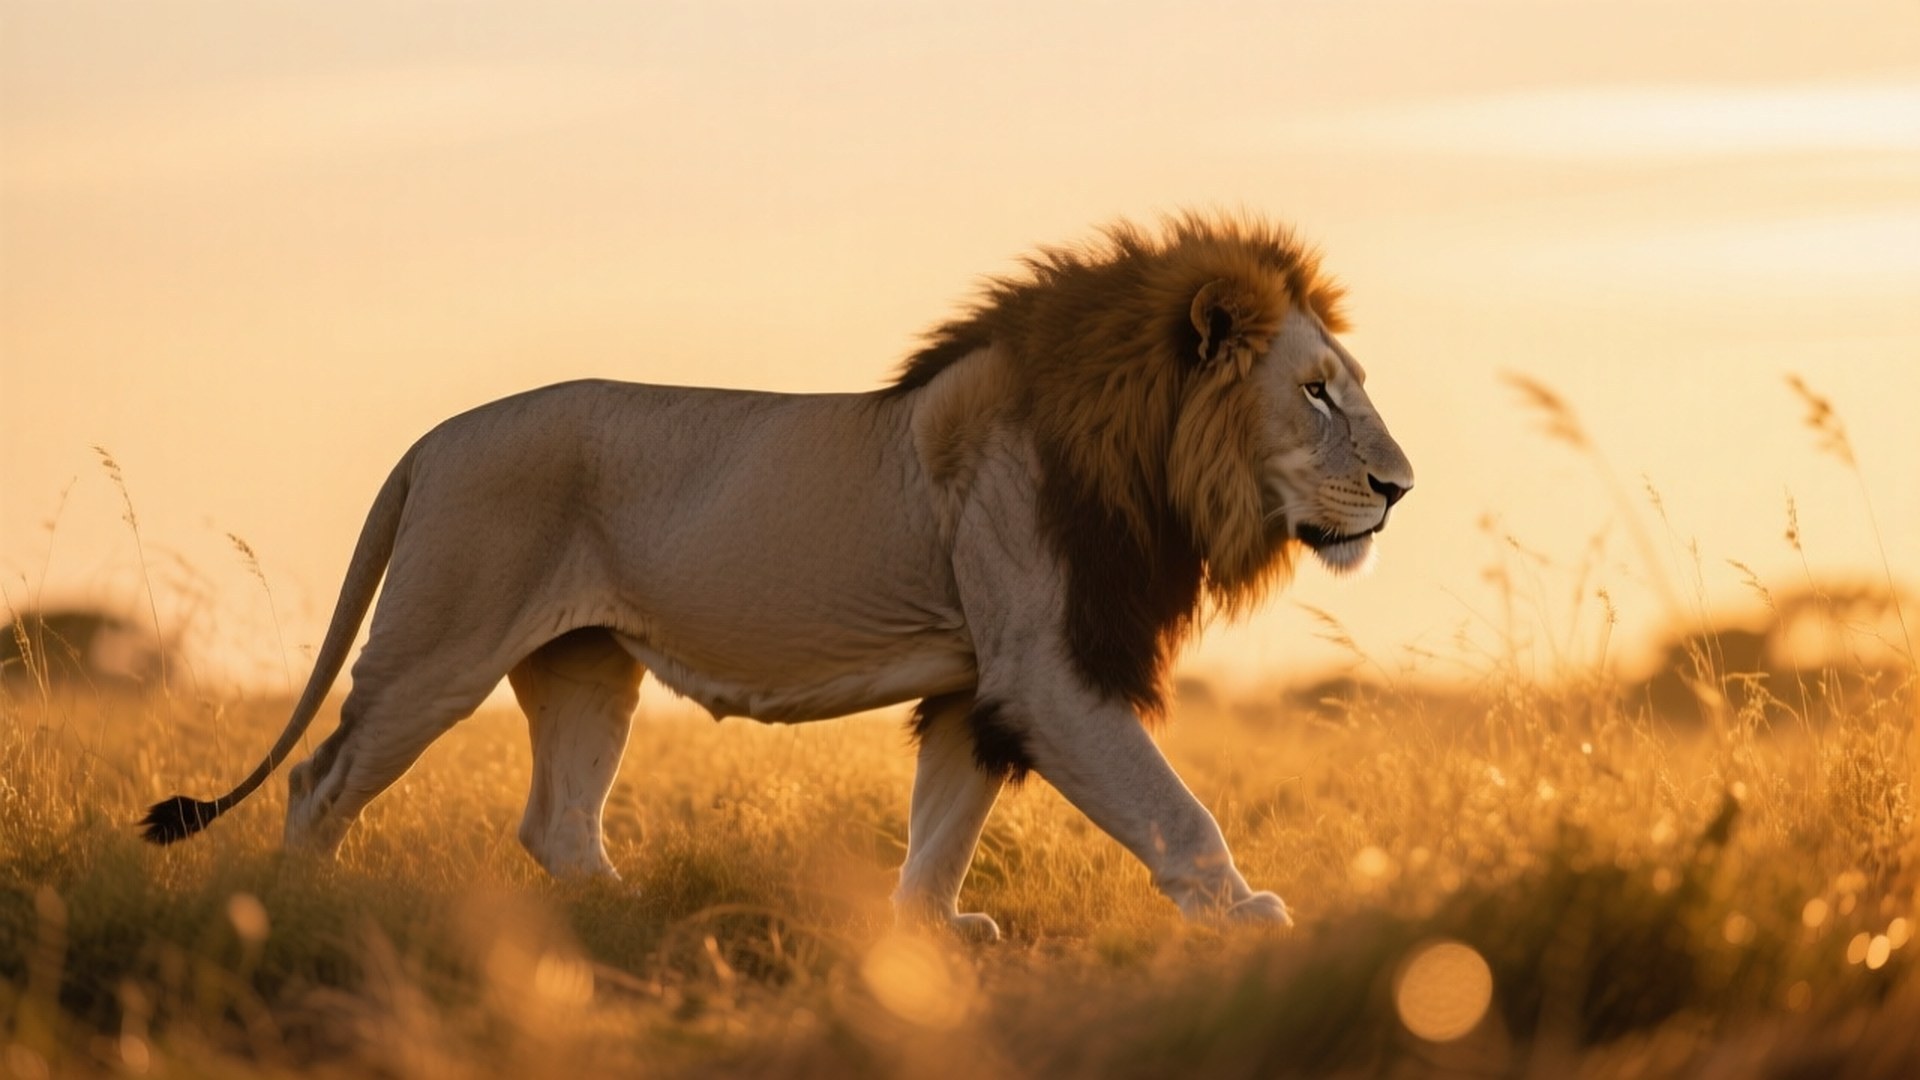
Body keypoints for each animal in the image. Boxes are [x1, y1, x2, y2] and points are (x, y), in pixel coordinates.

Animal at [141, 214, 1413, 939]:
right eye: (1316, 391)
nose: (1401, 488)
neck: (1142, 449)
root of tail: (434, 437)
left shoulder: (981, 679)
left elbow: (944, 820)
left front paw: (925, 934)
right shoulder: (1049, 668)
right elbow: (1172, 807)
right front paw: (1246, 916)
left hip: (586, 667)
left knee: (557, 822)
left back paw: (640, 917)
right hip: (438, 649)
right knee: (321, 780)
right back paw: (299, 910)